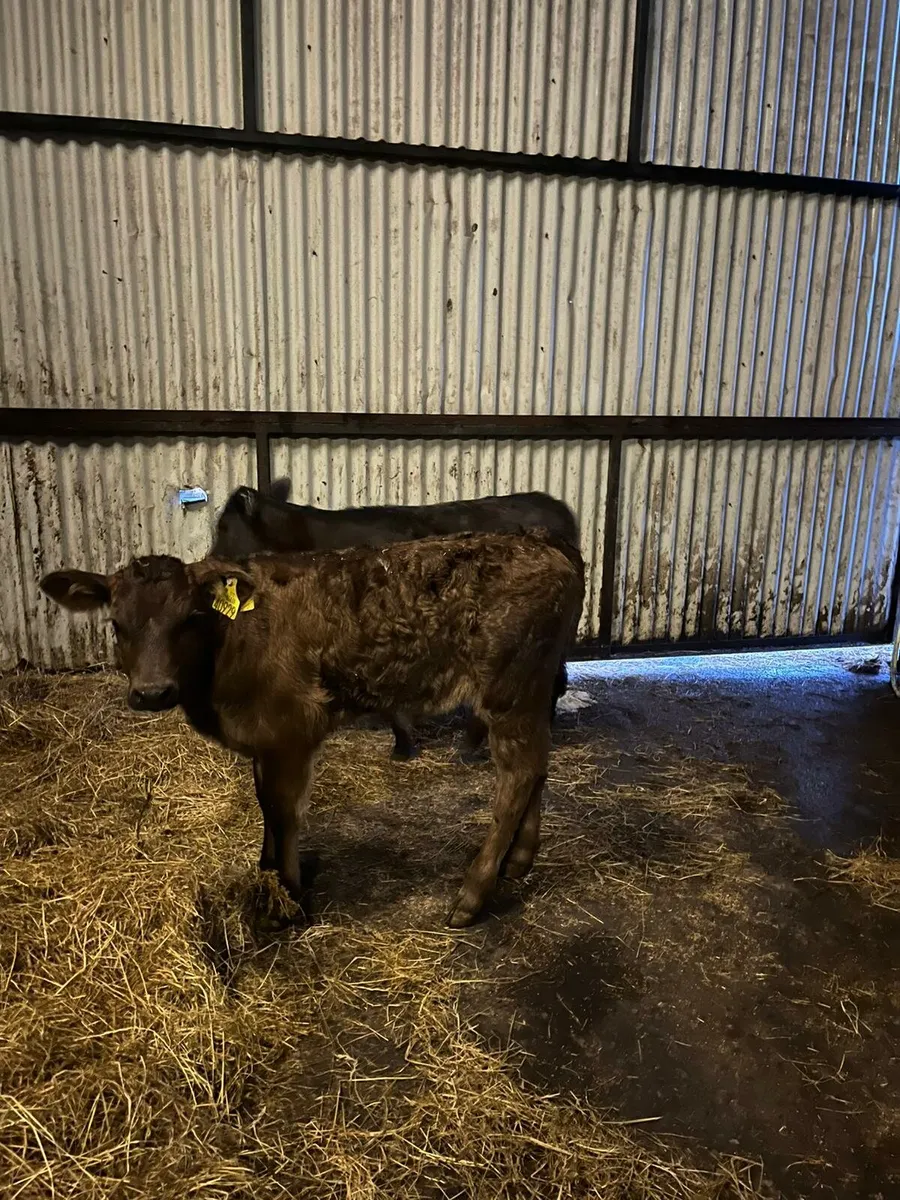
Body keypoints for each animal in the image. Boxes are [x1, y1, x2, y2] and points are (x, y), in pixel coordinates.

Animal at [41, 531, 584, 927]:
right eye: (116, 624)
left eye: (190, 618)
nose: (153, 692)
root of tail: (546, 545)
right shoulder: (265, 739)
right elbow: (264, 804)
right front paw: (267, 874)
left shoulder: (291, 729)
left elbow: (283, 811)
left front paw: (288, 897)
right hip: (533, 693)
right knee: (537, 765)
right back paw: (518, 862)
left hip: (509, 691)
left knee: (516, 778)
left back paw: (472, 895)